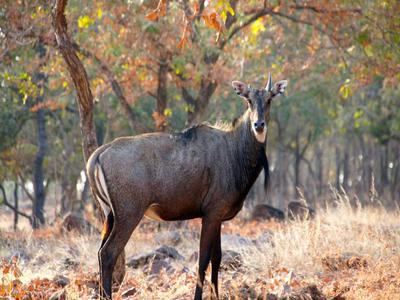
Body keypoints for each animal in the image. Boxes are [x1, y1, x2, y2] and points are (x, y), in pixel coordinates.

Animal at [86, 74, 288, 298]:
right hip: (128, 214)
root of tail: (98, 154)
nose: (258, 125)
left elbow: (217, 258)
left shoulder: (217, 216)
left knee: (100, 252)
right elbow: (203, 259)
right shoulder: (211, 214)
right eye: (248, 100)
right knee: (108, 253)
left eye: (269, 99)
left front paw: (216, 295)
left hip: (110, 215)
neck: (235, 151)